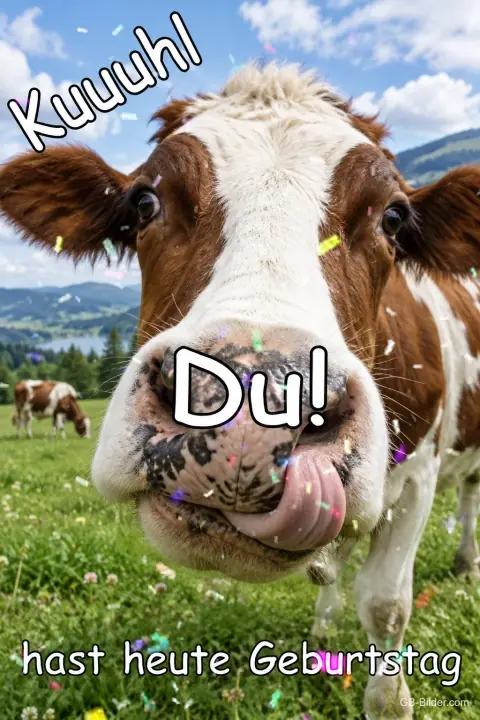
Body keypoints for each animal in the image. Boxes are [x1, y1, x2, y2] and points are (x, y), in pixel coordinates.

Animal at [1, 62, 479, 717]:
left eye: (394, 217)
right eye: (144, 200)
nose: (255, 411)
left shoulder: (419, 478)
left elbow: (385, 605)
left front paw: (387, 697)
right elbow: (337, 571)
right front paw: (322, 635)